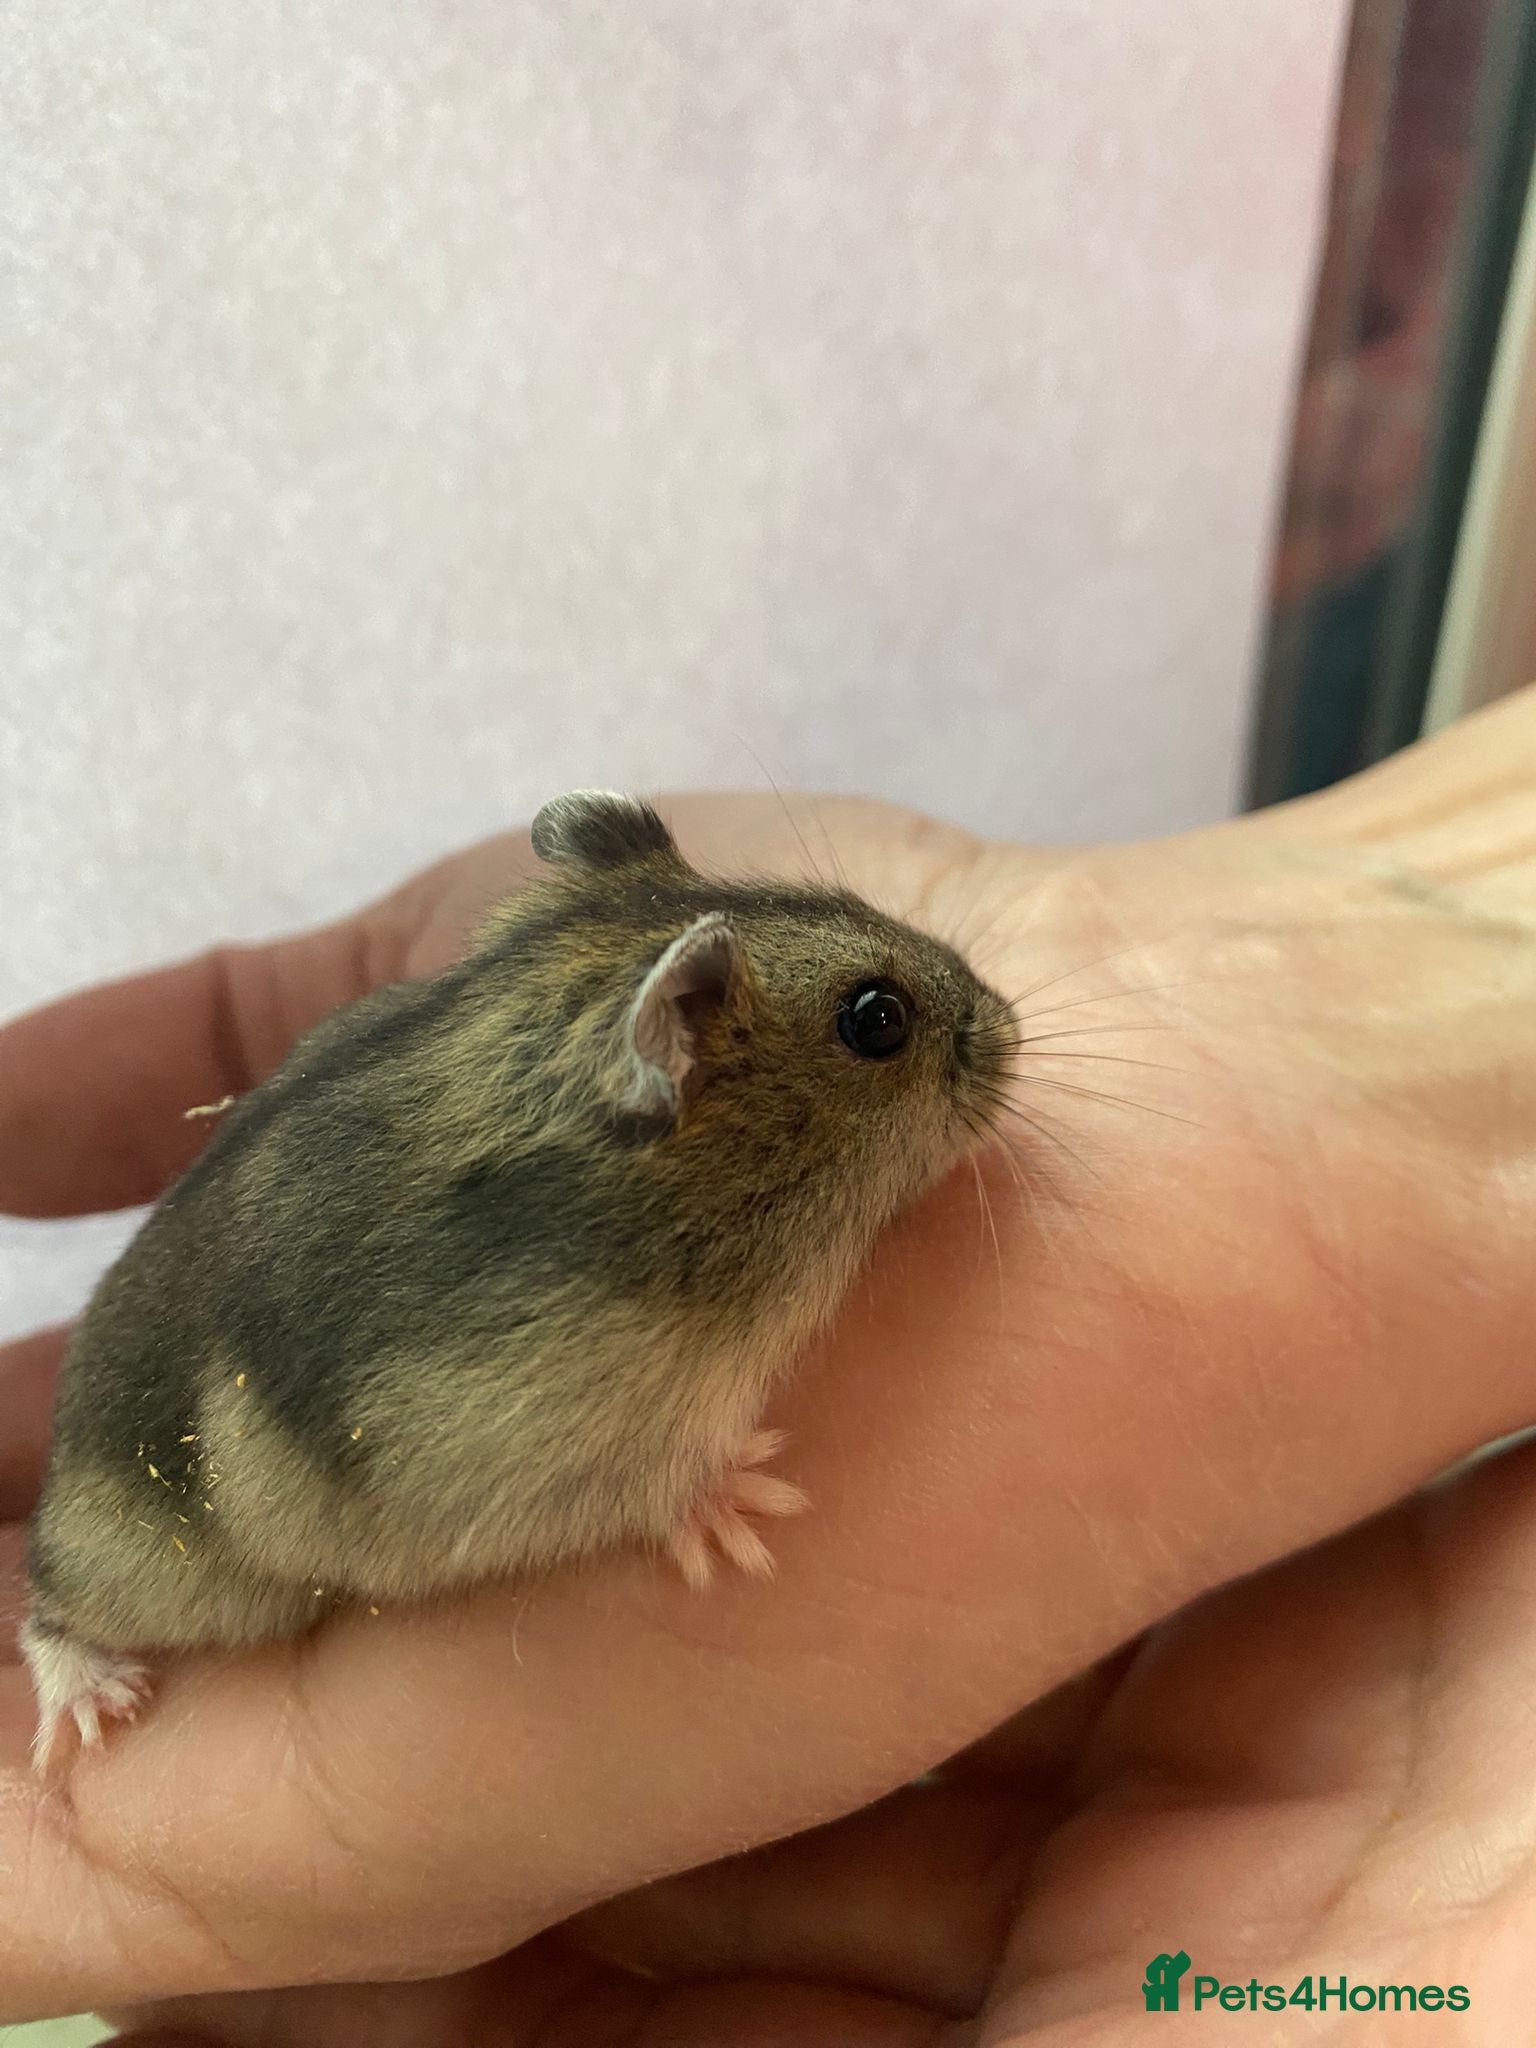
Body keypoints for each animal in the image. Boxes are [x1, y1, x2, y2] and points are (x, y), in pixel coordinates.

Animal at [22, 792, 1017, 1767]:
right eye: (877, 1019)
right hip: (155, 1572)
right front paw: (752, 1504)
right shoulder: (515, 1435)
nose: (1012, 1026)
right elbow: (655, 1485)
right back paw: (96, 1708)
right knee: (47, 1602)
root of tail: (60, 1475)